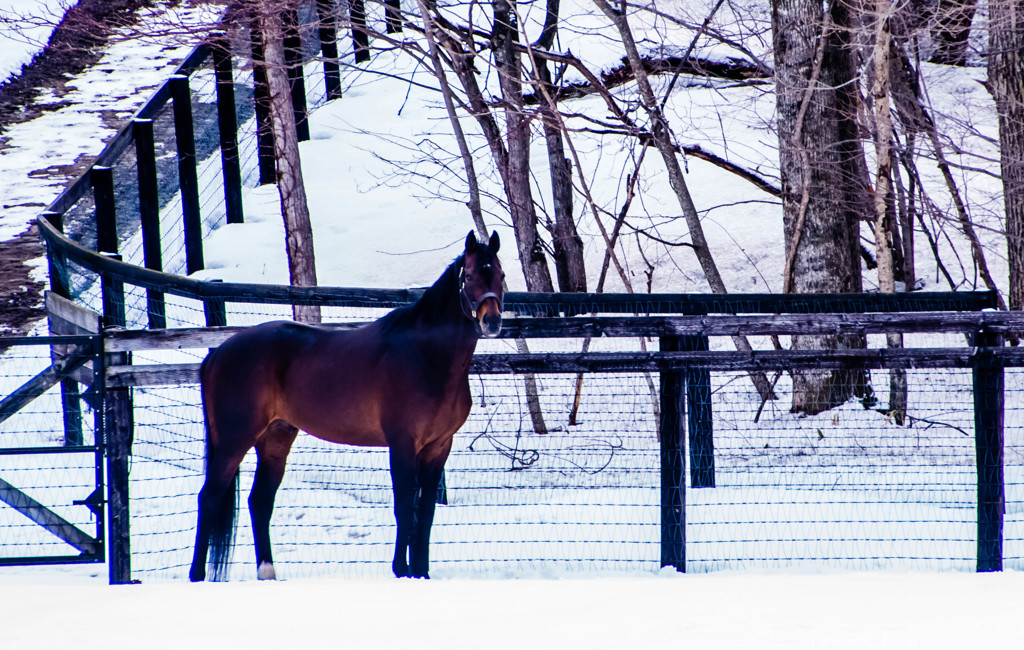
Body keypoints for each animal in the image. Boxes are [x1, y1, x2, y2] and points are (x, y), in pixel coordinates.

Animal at [189, 232, 503, 581]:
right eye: (470, 276)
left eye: (501, 275)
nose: (492, 322)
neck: (426, 357)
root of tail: (218, 352)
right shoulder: (403, 444)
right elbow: (404, 506)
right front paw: (401, 570)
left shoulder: (438, 447)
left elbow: (426, 511)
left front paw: (421, 572)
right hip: (233, 440)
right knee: (210, 497)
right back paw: (197, 575)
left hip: (275, 438)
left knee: (260, 501)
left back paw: (267, 571)